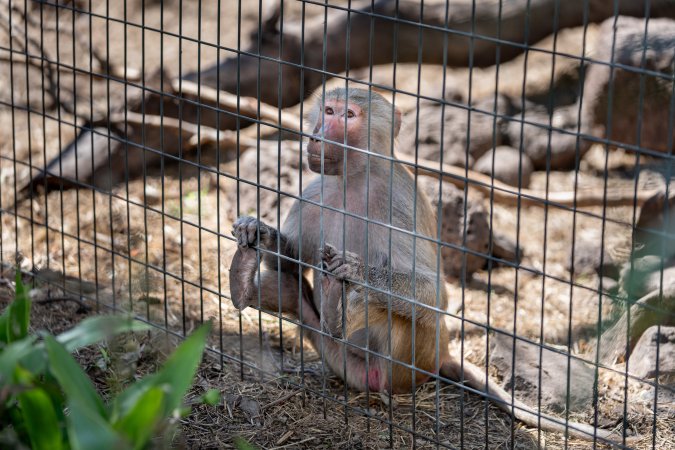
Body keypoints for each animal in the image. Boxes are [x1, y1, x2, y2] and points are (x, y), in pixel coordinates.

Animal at [228, 87, 631, 443]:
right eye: (327, 110)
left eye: (348, 116)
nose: (315, 137)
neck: (353, 180)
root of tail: (441, 356)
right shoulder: (314, 194)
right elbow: (289, 265)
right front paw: (258, 232)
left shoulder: (397, 204)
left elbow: (434, 294)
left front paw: (356, 274)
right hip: (337, 359)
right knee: (294, 293)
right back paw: (246, 282)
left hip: (406, 365)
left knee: (391, 313)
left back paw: (346, 318)